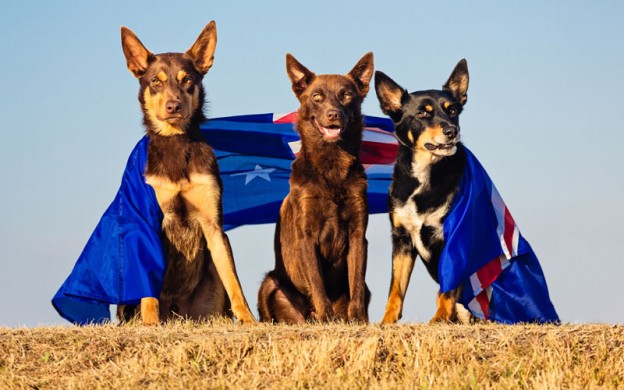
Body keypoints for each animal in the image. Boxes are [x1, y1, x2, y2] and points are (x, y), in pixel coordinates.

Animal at [116, 22, 255, 326]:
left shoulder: (214, 225)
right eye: (155, 81)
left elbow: (234, 281)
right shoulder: (148, 222)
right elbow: (148, 287)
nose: (173, 106)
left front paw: (249, 320)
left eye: (187, 80)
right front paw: (150, 322)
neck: (176, 142)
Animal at [258, 53, 376, 324]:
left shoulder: (358, 233)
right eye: (317, 97)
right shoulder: (307, 235)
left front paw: (357, 319)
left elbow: (356, 281)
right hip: (270, 284)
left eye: (346, 95)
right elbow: (317, 282)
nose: (333, 115)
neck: (332, 169)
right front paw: (326, 317)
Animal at [372, 60, 470, 322]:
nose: (452, 131)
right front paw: (387, 321)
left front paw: (440, 318)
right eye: (423, 113)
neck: (424, 176)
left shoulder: (453, 237)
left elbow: (449, 286)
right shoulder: (402, 238)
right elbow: (395, 288)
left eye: (452, 111)